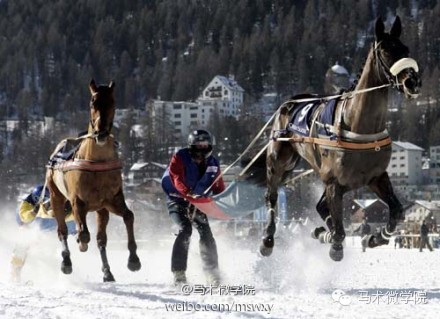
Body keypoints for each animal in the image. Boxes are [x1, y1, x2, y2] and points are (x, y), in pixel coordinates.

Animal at [45, 80, 141, 282]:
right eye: (92, 102)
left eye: (112, 102)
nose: (101, 133)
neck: (97, 162)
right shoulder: (77, 201)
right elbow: (83, 233)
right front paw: (80, 243)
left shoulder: (112, 200)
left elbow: (129, 216)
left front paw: (133, 260)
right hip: (56, 196)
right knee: (62, 230)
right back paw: (67, 261)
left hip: (101, 210)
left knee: (101, 239)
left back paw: (107, 271)